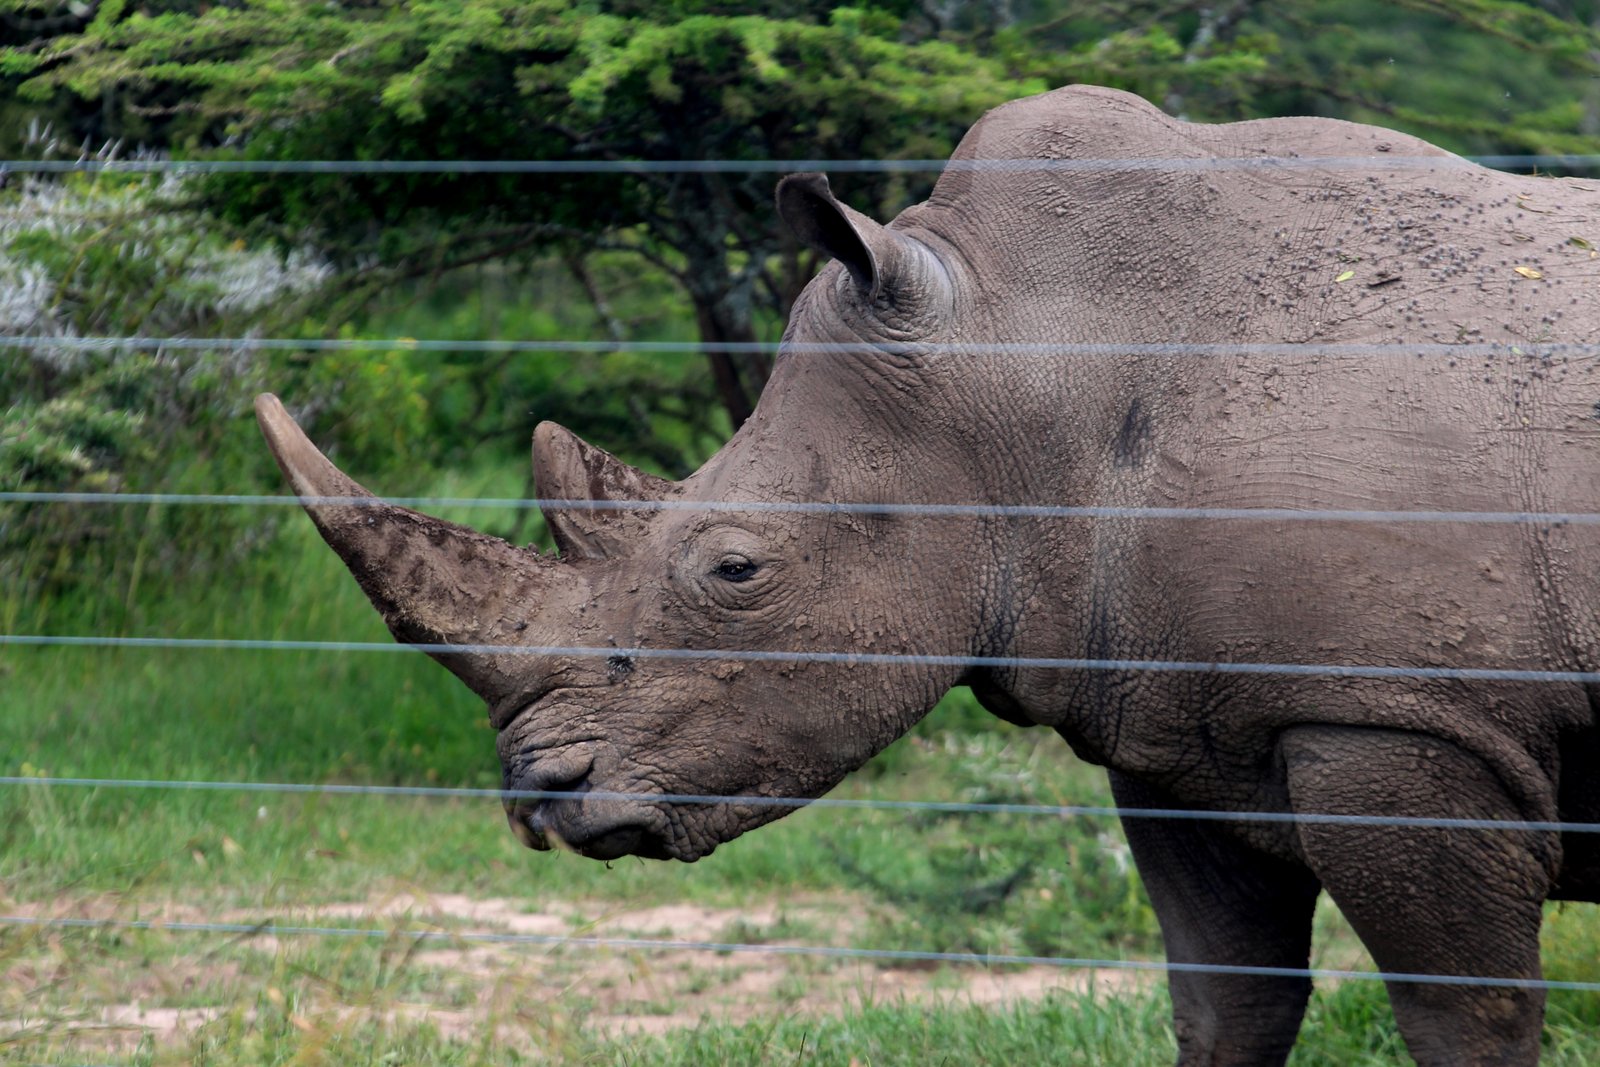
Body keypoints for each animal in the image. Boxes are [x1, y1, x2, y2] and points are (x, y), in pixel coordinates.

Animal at [256, 85, 1600, 1065]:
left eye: (736, 568)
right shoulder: (1186, 713)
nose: (540, 796)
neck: (1024, 366)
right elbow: (1228, 1000)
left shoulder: (1398, 713)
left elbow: (1464, 1016)